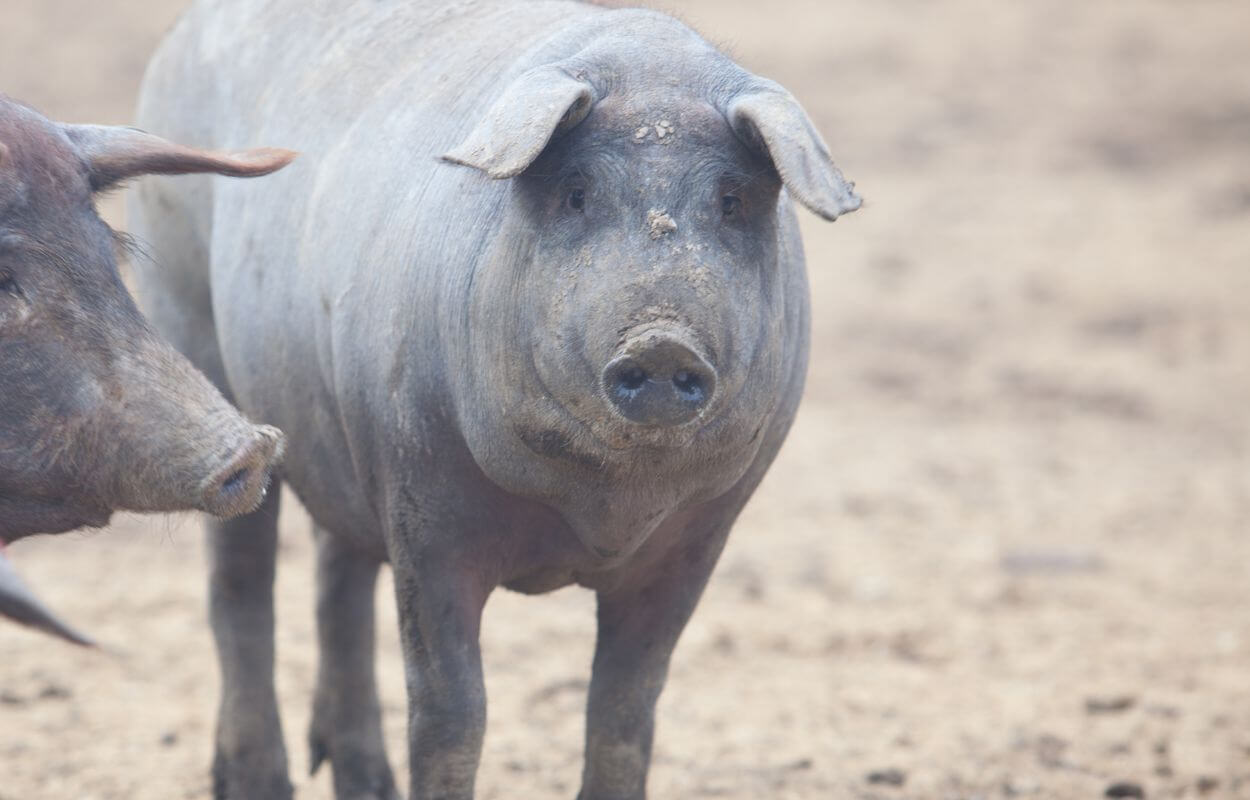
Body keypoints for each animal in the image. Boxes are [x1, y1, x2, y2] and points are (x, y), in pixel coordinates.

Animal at [131, 3, 865, 795]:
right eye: (576, 193)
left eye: (731, 202)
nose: (661, 341)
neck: (599, 510)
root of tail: (179, 37)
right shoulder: (421, 496)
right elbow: (452, 709)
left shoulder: (703, 528)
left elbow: (625, 706)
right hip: (193, 329)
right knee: (240, 582)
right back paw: (258, 779)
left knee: (339, 575)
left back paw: (365, 780)